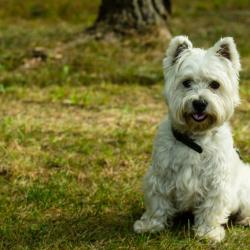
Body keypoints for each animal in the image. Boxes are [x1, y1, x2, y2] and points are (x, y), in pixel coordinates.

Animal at [135, 36, 250, 242]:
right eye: (187, 82)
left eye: (215, 85)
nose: (199, 103)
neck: (195, 139)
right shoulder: (160, 176)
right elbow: (157, 202)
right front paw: (150, 225)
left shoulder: (217, 183)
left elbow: (211, 209)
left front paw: (208, 232)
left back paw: (245, 220)